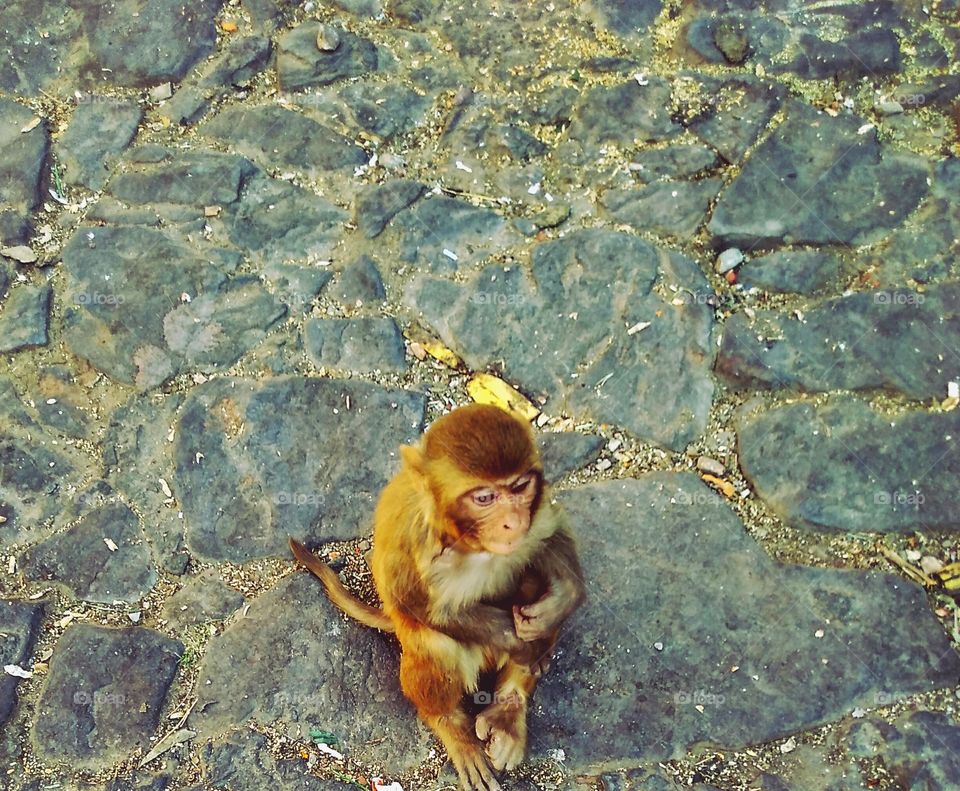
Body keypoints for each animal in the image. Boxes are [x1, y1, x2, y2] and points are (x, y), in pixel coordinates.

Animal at [288, 406, 584, 788]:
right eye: (484, 498)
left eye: (519, 487)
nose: (514, 521)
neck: (471, 543)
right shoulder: (418, 541)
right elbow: (419, 604)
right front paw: (517, 641)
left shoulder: (537, 512)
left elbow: (550, 535)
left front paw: (561, 601)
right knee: (435, 643)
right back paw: (451, 725)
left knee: (531, 575)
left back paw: (510, 706)